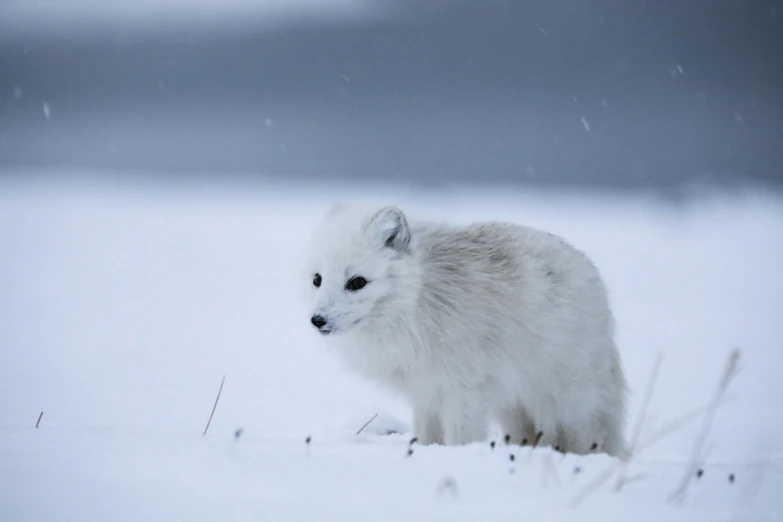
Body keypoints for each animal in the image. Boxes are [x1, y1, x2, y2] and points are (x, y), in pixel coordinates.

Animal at [304, 203, 628, 456]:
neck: (416, 302)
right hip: (515, 407)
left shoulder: (464, 387)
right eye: (317, 279)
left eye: (357, 282)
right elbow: (427, 436)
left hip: (567, 403)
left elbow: (461, 438)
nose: (318, 320)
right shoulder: (425, 389)